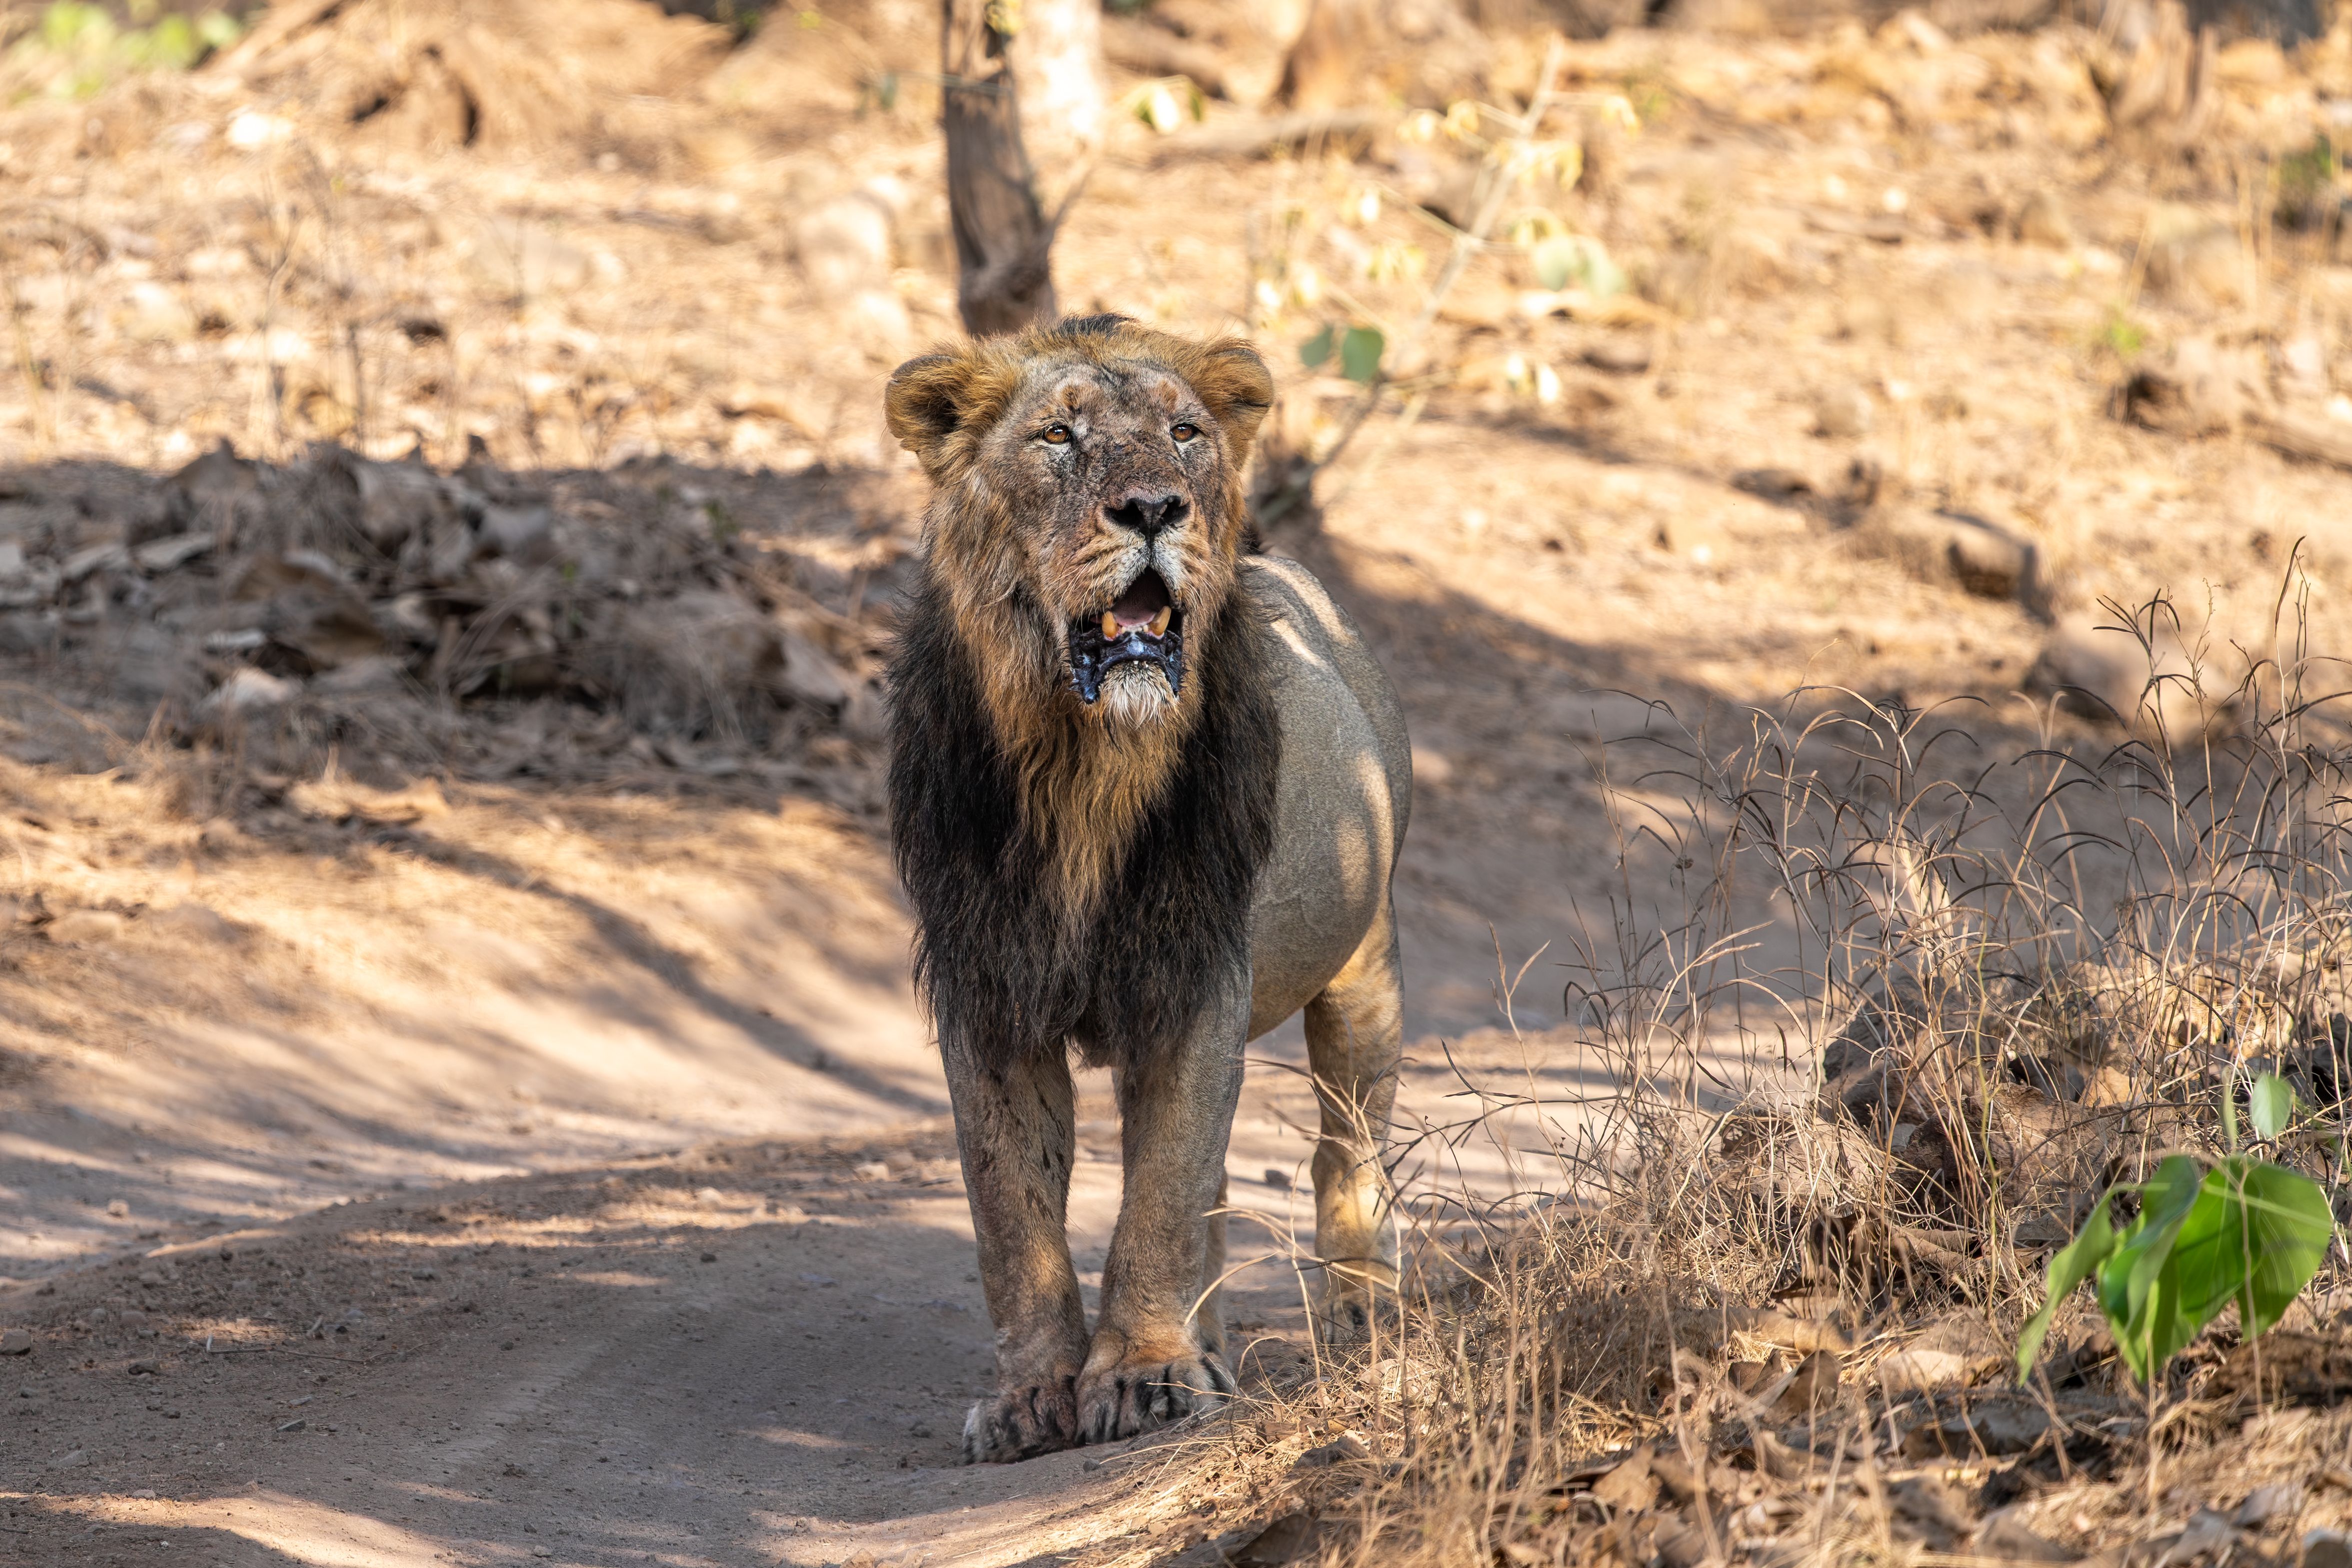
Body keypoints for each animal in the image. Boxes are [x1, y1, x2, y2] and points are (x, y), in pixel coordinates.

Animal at [883, 315, 1410, 1463]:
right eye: (1057, 436)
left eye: (1184, 435)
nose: (1156, 508)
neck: (1083, 766)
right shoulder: (988, 986)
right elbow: (1012, 1212)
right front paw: (1035, 1393)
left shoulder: (1194, 971)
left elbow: (1161, 1190)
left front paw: (1148, 1376)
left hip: (1365, 962)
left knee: (1345, 1148)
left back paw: (1364, 1319)